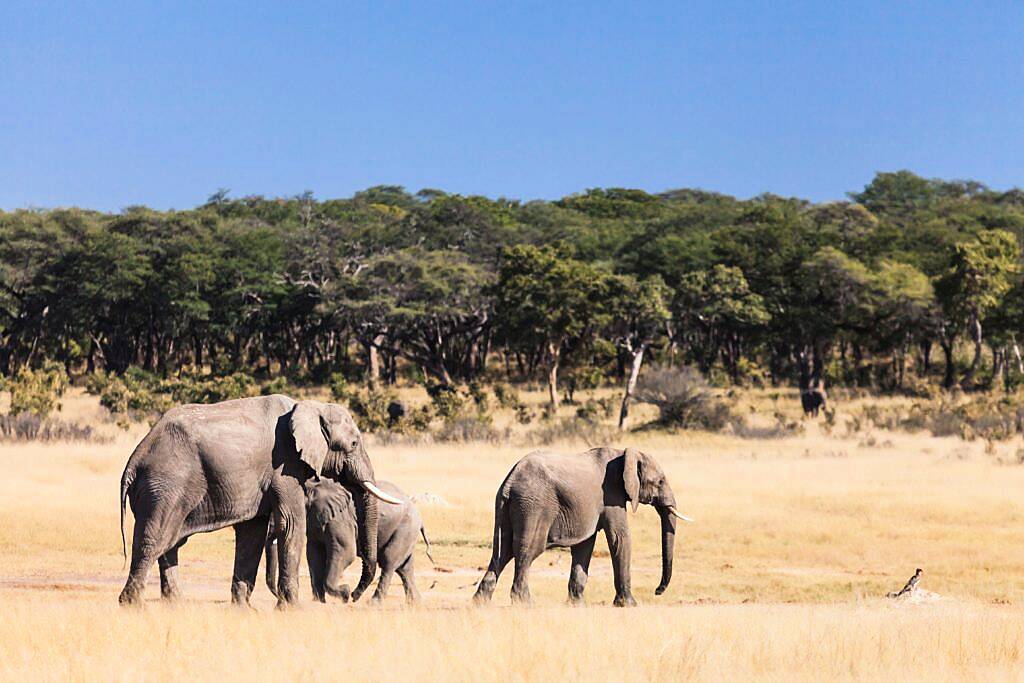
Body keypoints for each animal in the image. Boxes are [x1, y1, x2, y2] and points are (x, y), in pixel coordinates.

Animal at [117, 395, 401, 610]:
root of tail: (133, 460)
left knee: (171, 544)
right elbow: (291, 523)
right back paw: (132, 605)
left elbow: (252, 532)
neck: (309, 407)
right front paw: (291, 609)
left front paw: (244, 609)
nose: (350, 595)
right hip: (166, 484)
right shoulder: (284, 464)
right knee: (155, 538)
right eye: (353, 443)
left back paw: (175, 605)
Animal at [264, 479, 432, 606]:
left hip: (405, 528)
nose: (352, 596)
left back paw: (373, 603)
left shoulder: (339, 518)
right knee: (404, 567)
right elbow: (314, 555)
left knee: (389, 562)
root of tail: (420, 518)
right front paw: (319, 602)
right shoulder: (315, 521)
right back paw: (414, 603)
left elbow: (345, 552)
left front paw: (344, 593)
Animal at [471, 448, 688, 610]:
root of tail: (510, 481)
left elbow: (585, 545)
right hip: (533, 505)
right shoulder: (612, 495)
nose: (657, 591)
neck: (624, 453)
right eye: (660, 481)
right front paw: (629, 605)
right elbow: (619, 538)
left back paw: (480, 603)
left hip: (507, 505)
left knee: (502, 552)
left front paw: (577, 605)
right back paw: (525, 603)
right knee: (527, 551)